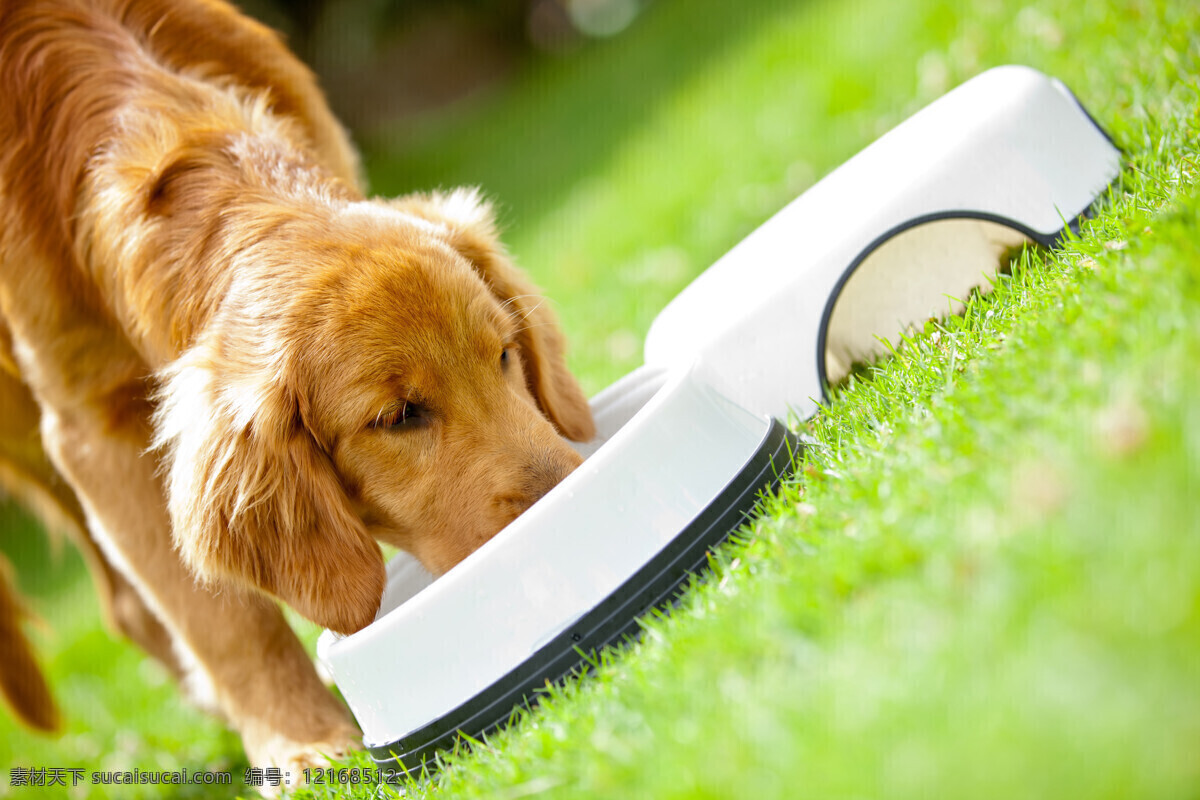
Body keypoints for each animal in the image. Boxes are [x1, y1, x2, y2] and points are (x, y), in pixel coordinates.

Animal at [0, 0, 592, 777]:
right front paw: (301, 741)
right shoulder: (90, 429)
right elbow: (223, 618)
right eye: (399, 416)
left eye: (503, 355)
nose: (574, 506)